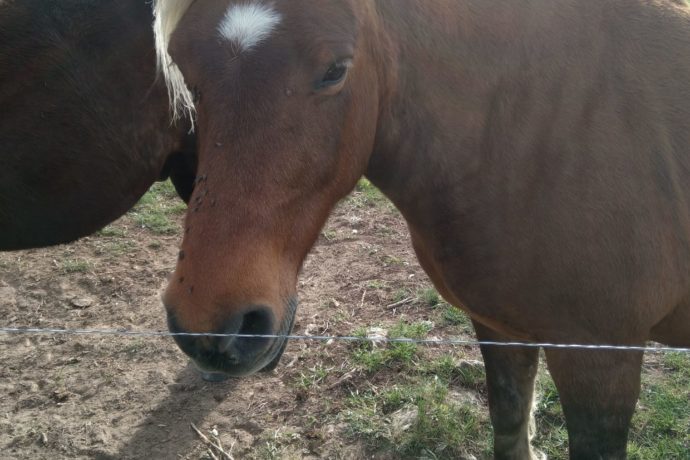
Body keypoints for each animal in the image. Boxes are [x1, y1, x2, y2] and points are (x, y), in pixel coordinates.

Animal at [153, 0, 690, 458]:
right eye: (184, 70)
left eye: (336, 69)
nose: (209, 324)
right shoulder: (501, 327)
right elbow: (509, 423)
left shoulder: (600, 358)